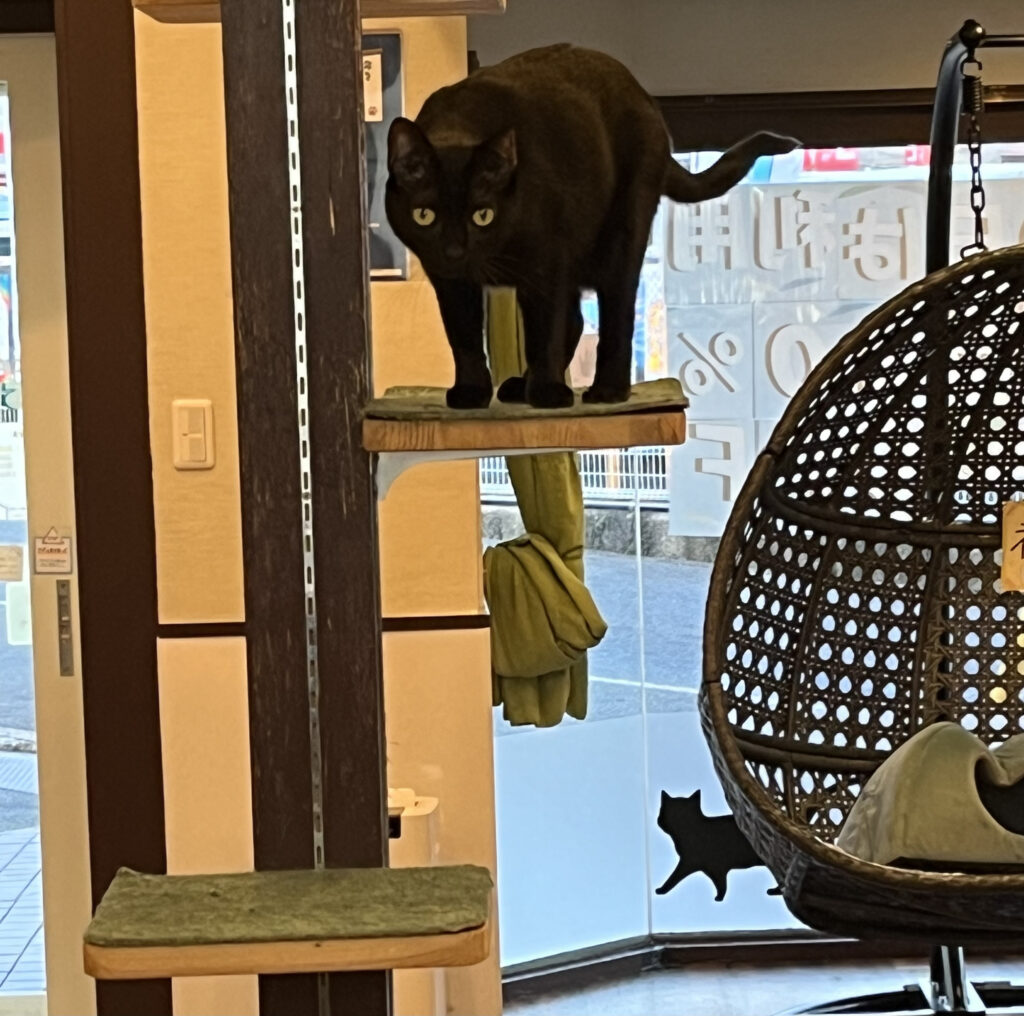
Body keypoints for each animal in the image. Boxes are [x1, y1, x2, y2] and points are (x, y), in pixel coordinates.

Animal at [385, 44, 798, 410]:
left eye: (482, 215)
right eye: (425, 215)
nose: (455, 250)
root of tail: (647, 103)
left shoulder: (546, 265)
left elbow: (544, 334)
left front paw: (548, 393)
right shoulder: (451, 282)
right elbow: (465, 337)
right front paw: (472, 393)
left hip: (623, 232)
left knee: (615, 316)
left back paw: (606, 391)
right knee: (576, 320)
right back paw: (522, 386)